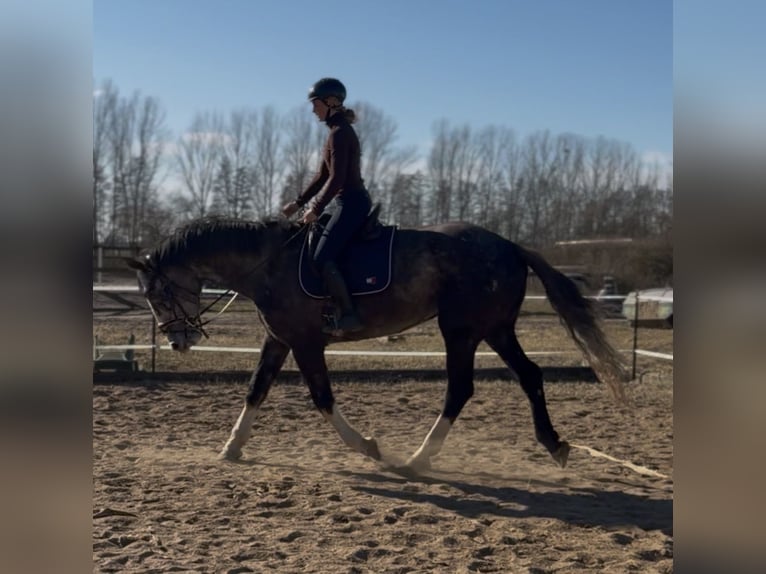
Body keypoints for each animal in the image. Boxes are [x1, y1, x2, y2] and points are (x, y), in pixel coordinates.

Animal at [127, 216, 628, 471]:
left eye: (158, 294)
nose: (178, 342)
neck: (268, 263)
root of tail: (509, 245)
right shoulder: (279, 339)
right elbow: (255, 391)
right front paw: (231, 448)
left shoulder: (307, 342)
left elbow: (322, 399)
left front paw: (369, 447)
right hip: (496, 329)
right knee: (530, 375)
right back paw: (554, 445)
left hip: (462, 330)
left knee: (460, 389)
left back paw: (417, 459)